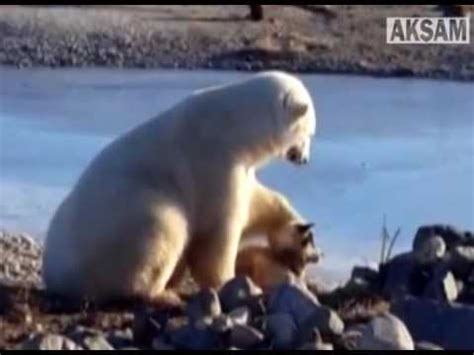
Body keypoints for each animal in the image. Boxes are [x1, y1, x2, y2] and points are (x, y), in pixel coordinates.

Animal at [43, 71, 314, 304]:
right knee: (164, 227)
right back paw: (163, 295)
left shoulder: (241, 166)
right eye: (309, 132)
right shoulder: (214, 159)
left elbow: (257, 202)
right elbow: (217, 230)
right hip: (124, 221)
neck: (237, 124)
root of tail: (55, 274)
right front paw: (232, 282)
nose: (304, 160)